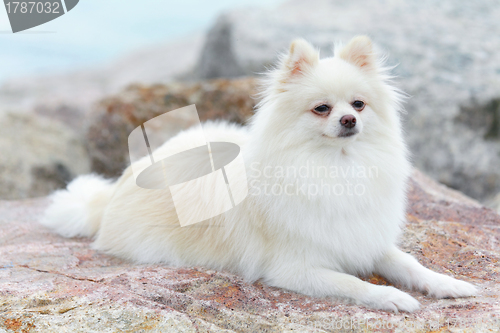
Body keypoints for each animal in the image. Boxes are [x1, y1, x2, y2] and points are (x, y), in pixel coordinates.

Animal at [42, 36, 476, 312]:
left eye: (359, 104)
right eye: (322, 108)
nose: (349, 120)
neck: (335, 165)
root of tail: (116, 188)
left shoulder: (366, 238)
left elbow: (410, 264)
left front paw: (448, 284)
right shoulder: (294, 268)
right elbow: (353, 283)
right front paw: (392, 298)